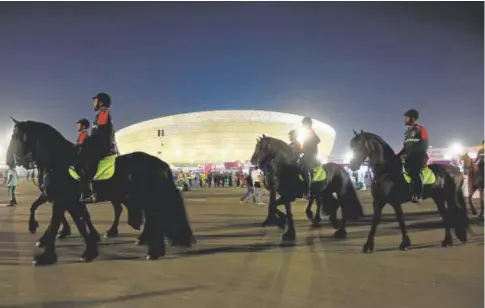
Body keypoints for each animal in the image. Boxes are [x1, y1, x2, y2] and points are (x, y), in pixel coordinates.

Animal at [6, 118, 195, 264]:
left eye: (16, 137)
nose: (9, 161)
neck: (59, 162)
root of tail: (159, 162)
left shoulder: (60, 199)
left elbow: (55, 223)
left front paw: (46, 255)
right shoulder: (68, 200)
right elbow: (79, 221)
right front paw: (89, 250)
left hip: (144, 197)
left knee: (150, 218)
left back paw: (151, 249)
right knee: (142, 216)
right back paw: (147, 245)